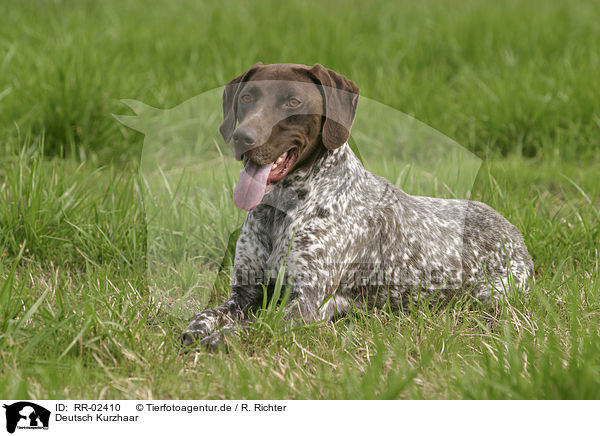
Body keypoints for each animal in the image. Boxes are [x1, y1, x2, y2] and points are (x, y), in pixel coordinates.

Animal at [180, 62, 532, 348]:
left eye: (292, 101)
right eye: (247, 98)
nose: (243, 137)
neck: (280, 210)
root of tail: (514, 232)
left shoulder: (304, 303)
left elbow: (254, 328)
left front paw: (222, 338)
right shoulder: (244, 295)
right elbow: (203, 317)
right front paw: (199, 330)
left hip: (493, 297)